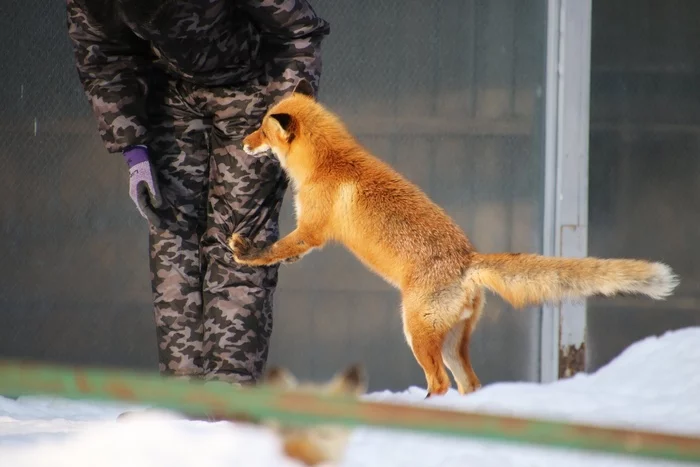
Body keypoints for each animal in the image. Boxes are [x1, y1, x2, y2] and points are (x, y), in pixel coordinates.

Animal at [228, 79, 680, 398]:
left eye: (260, 130)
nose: (241, 142)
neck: (328, 161)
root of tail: (468, 260)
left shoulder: (312, 229)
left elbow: (276, 249)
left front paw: (248, 253)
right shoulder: (310, 234)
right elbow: (287, 255)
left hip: (417, 333)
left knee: (441, 384)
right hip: (450, 342)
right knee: (470, 384)